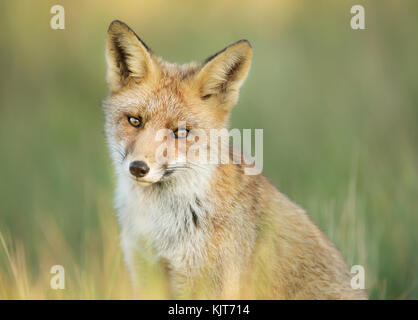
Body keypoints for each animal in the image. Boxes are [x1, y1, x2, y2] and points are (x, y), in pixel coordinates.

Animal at [103, 20, 368, 300]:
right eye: (135, 121)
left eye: (181, 132)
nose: (138, 168)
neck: (160, 223)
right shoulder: (145, 274)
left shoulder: (207, 286)